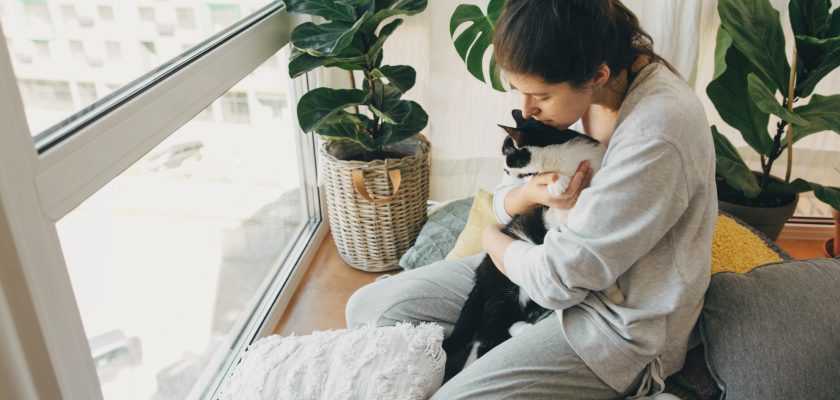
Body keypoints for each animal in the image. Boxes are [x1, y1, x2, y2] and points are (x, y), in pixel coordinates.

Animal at [442, 108, 620, 376]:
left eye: (507, 156)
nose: (504, 170)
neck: (560, 158)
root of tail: (480, 278)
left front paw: (614, 291)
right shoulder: (547, 208)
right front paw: (560, 184)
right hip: (506, 289)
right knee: (487, 332)